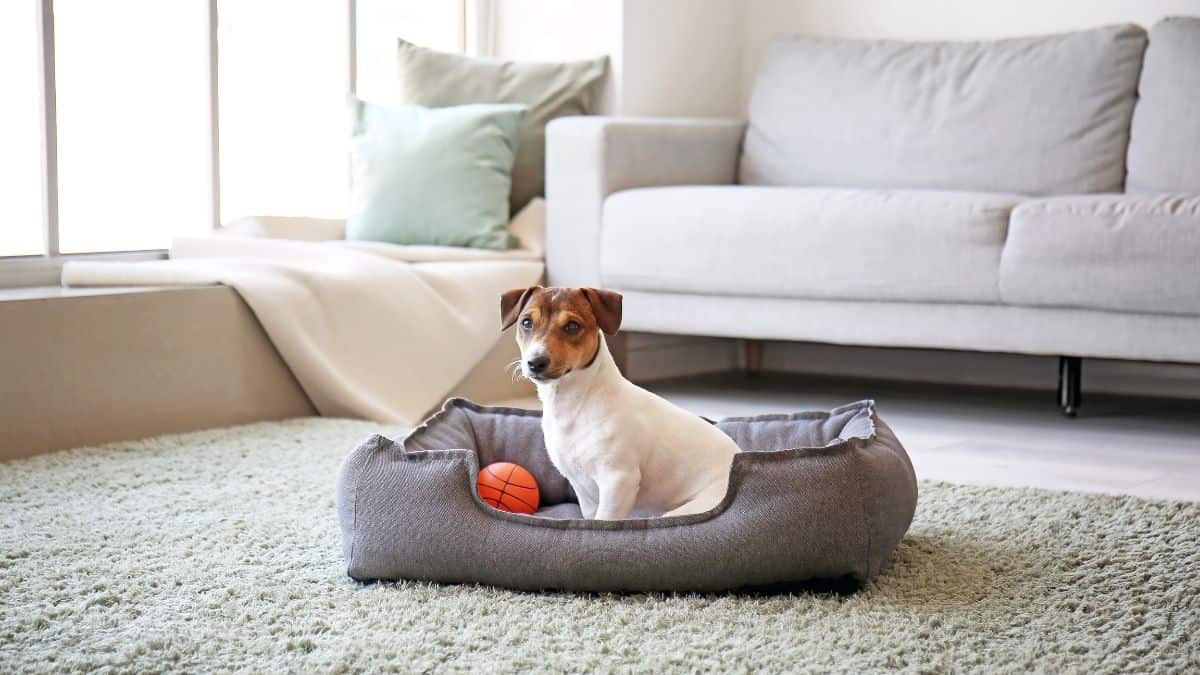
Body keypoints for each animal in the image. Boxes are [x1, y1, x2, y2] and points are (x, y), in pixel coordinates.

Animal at [499, 285, 739, 516]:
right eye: (526, 323)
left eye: (572, 326)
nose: (535, 362)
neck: (575, 404)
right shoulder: (583, 490)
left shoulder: (618, 481)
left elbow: (604, 519)